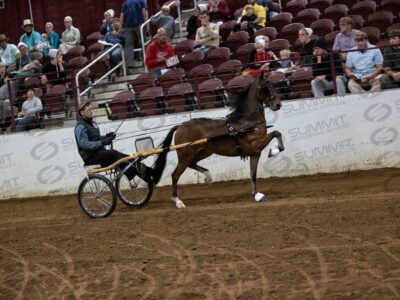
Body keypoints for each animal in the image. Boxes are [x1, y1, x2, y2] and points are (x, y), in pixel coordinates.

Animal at [151, 77, 284, 209]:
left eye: (273, 85)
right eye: (266, 88)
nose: (278, 104)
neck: (248, 122)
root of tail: (181, 126)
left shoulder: (255, 153)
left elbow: (253, 175)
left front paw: (257, 195)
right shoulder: (256, 145)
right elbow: (276, 133)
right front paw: (273, 151)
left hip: (203, 152)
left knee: (192, 164)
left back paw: (208, 176)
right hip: (185, 155)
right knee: (175, 175)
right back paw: (178, 201)